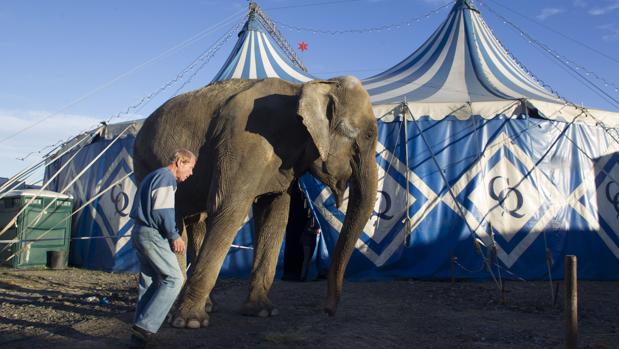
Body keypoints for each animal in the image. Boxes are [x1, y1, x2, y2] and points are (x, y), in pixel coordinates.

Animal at [133, 75, 380, 328]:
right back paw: (174, 312)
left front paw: (262, 312)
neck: (303, 88)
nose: (328, 310)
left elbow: (276, 214)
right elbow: (227, 208)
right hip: (145, 166)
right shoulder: (241, 145)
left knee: (196, 221)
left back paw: (208, 306)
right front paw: (189, 322)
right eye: (368, 136)